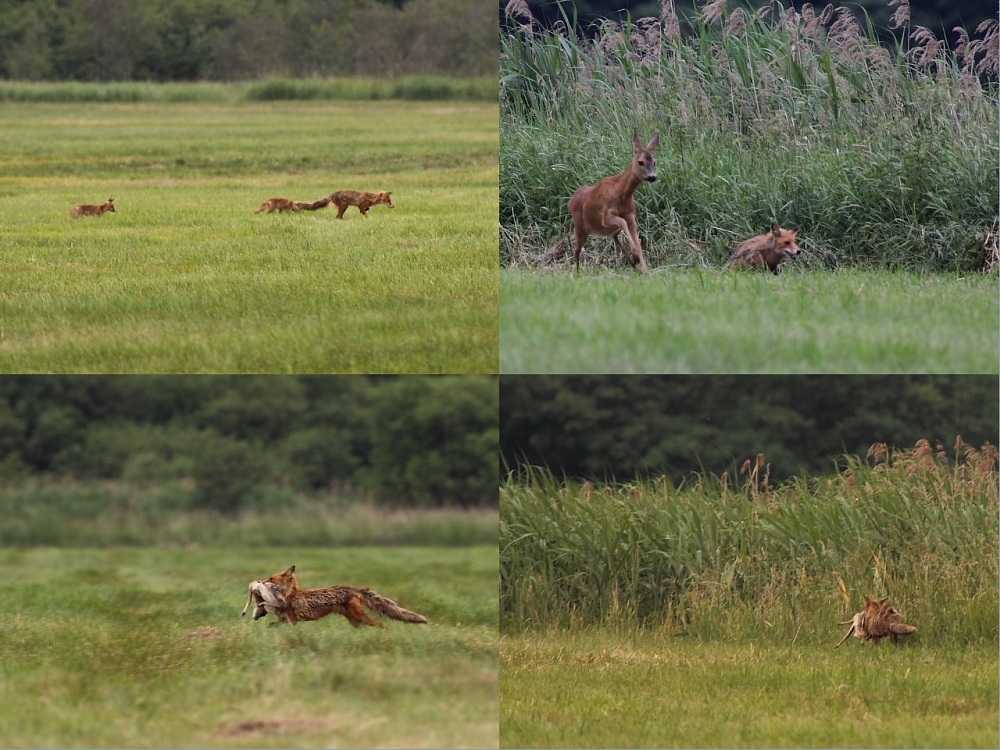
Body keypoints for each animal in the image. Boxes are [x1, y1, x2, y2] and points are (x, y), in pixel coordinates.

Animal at [245, 568, 430, 628]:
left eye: (271, 578)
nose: (260, 582)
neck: (288, 595)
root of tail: (352, 588)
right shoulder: (284, 620)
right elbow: (273, 625)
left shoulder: (293, 620)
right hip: (355, 621)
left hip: (359, 617)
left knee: (381, 625)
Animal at [568, 131, 660, 274]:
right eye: (640, 162)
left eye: (654, 162)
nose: (652, 177)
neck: (622, 196)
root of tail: (571, 200)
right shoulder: (606, 216)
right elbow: (623, 223)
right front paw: (635, 256)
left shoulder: (631, 216)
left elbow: (639, 245)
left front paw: (645, 271)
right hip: (580, 226)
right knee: (576, 249)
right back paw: (577, 273)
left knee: (614, 236)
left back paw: (633, 263)